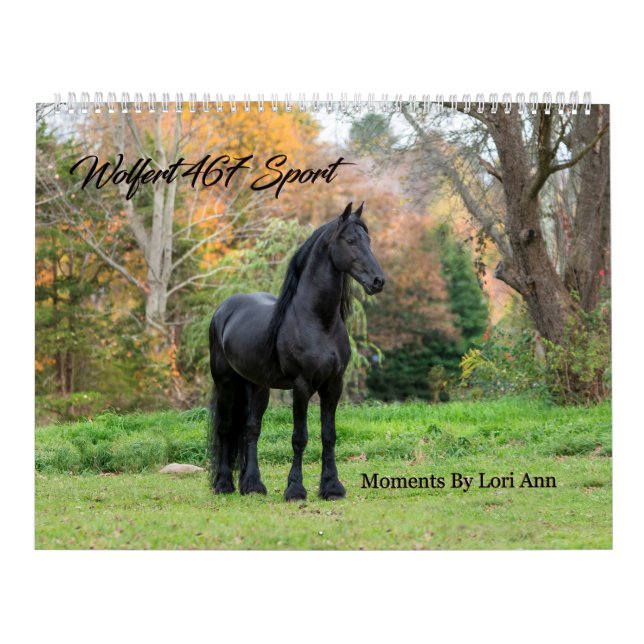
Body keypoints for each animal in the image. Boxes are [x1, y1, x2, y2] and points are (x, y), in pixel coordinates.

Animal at [208, 202, 385, 500]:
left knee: (250, 430)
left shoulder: (333, 385)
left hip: (258, 386)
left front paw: (332, 487)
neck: (318, 321)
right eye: (351, 240)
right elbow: (299, 437)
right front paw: (295, 489)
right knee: (224, 428)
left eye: (368, 240)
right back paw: (223, 484)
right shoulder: (302, 386)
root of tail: (223, 309)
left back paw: (252, 485)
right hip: (226, 382)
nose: (378, 280)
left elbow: (329, 435)